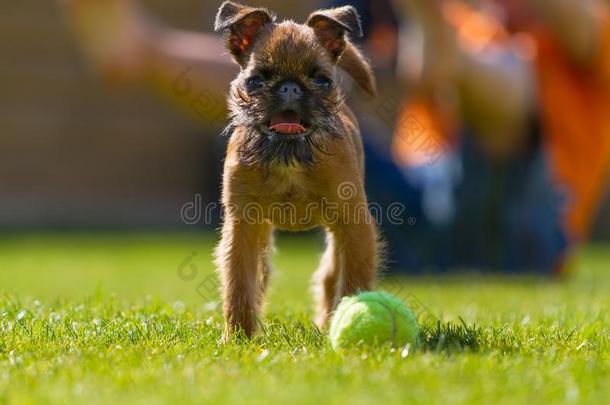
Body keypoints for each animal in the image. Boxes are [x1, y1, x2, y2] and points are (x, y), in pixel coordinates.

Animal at [211, 1, 378, 338]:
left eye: (322, 81)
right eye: (256, 81)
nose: (290, 88)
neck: (288, 157)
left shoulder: (354, 225)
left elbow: (353, 282)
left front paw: (352, 321)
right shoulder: (241, 228)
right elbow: (239, 284)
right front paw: (237, 337)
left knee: (329, 274)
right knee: (261, 274)